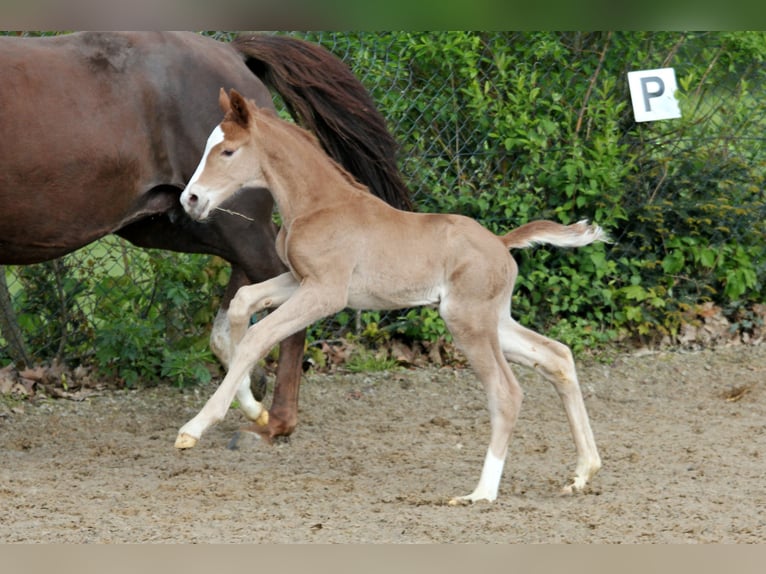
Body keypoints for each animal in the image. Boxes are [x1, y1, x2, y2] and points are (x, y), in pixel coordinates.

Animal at [178, 89, 608, 504]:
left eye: (227, 151)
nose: (190, 199)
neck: (319, 204)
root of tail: (501, 244)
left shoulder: (327, 292)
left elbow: (258, 335)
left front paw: (196, 427)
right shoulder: (299, 281)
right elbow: (243, 302)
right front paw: (252, 404)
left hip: (467, 323)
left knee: (506, 391)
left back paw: (481, 493)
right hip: (493, 321)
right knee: (557, 356)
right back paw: (582, 473)